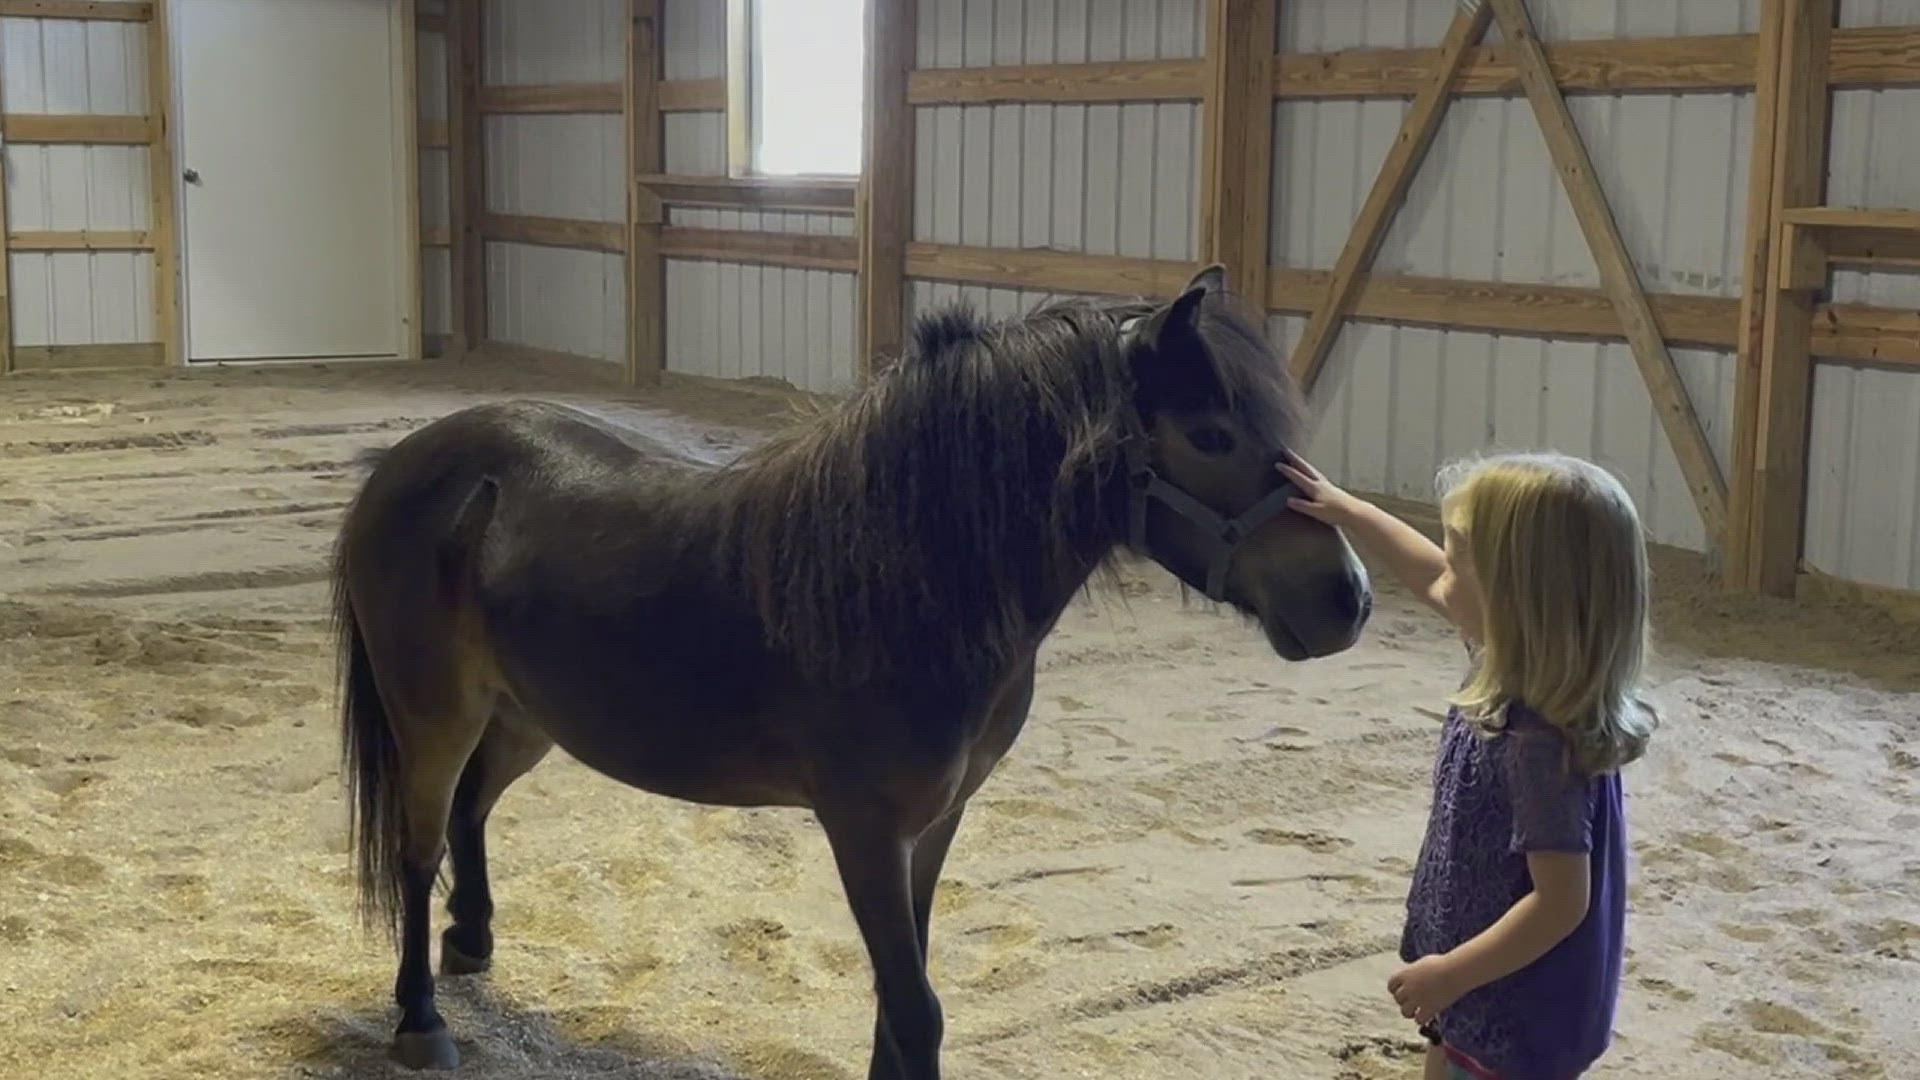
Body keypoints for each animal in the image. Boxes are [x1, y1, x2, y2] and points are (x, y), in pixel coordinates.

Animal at [337, 265, 1374, 1068]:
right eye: (1211, 435)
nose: (1349, 597)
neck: (907, 577)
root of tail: (411, 463)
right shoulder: (865, 829)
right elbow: (914, 1009)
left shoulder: (935, 824)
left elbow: (900, 997)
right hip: (434, 714)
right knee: (418, 844)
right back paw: (421, 1020)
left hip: (524, 715)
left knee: (471, 810)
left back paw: (472, 941)